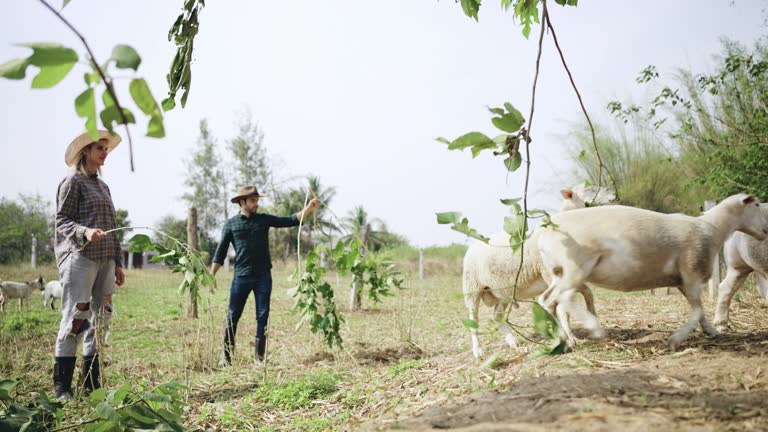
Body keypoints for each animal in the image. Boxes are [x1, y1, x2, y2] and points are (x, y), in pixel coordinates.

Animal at [462, 189, 592, 358]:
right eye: (585, 196)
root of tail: (472, 246)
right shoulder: (551, 275)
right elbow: (563, 309)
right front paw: (569, 340)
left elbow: (571, 305)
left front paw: (574, 337)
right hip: (472, 287)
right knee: (474, 319)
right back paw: (478, 351)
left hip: (504, 291)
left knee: (497, 316)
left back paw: (513, 342)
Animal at [536, 194, 768, 350]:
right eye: (757, 205)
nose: (766, 229)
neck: (712, 228)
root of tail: (544, 234)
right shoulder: (691, 271)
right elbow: (697, 310)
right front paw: (677, 338)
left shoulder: (682, 281)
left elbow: (699, 311)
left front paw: (710, 331)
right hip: (575, 268)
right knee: (557, 299)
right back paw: (588, 329)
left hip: (560, 273)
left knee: (551, 301)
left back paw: (565, 338)